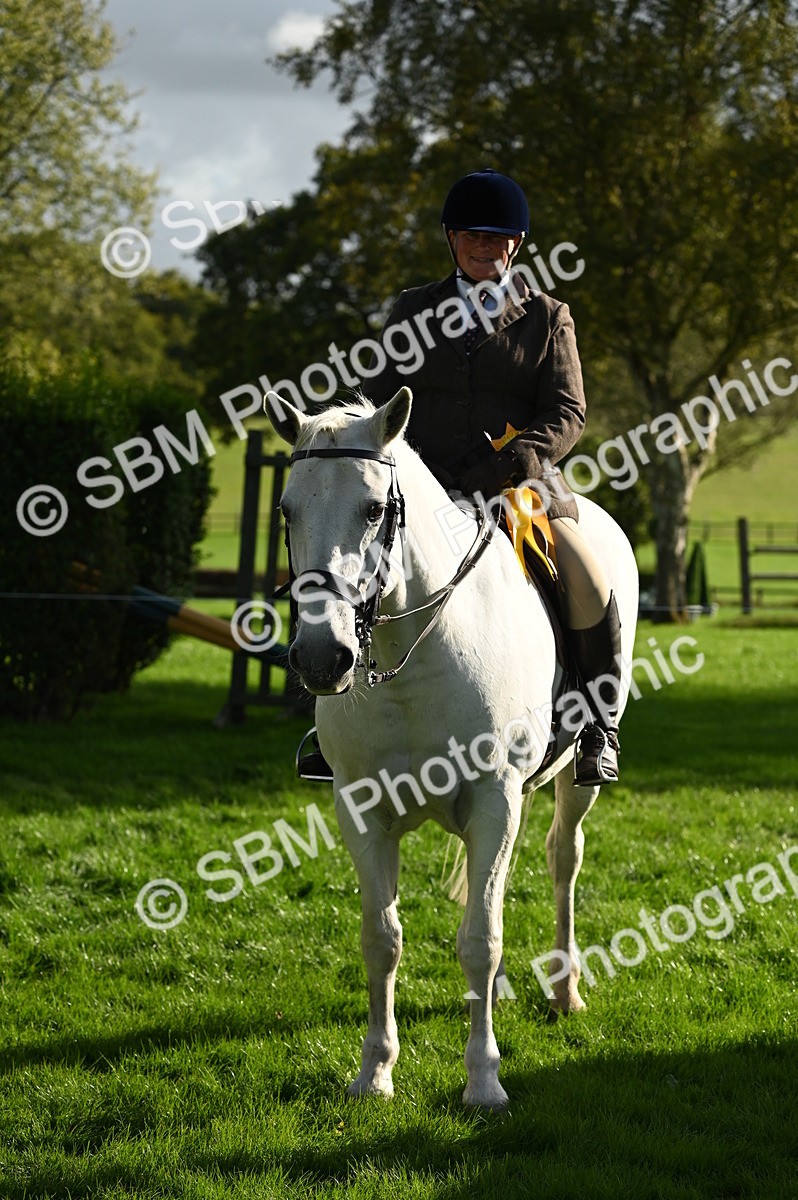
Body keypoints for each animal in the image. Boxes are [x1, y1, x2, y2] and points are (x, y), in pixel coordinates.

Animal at [264, 385, 638, 1110]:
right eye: (287, 510)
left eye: (375, 509)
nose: (323, 659)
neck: (412, 659)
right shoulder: (363, 811)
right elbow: (382, 939)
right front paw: (374, 1072)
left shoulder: (494, 800)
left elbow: (480, 940)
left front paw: (484, 1080)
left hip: (569, 780)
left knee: (562, 860)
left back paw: (564, 990)